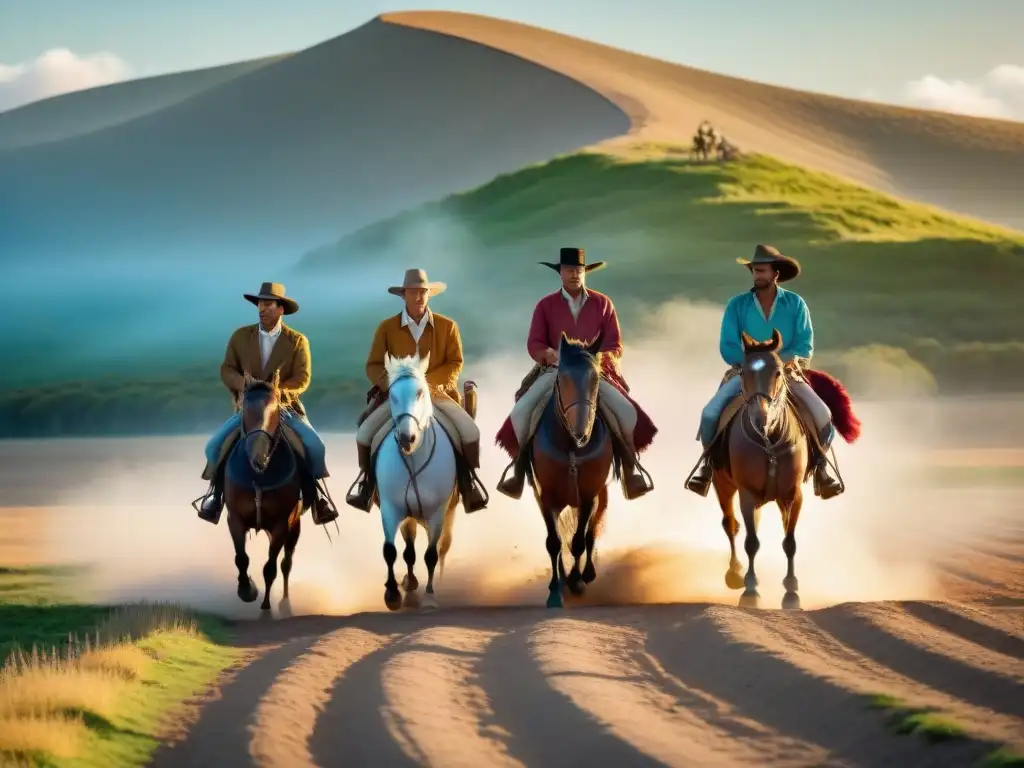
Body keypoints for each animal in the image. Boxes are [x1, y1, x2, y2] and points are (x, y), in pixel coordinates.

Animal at [224, 370, 303, 614]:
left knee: (286, 563)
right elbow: (241, 558)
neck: (259, 475)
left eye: (276, 411)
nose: (258, 458)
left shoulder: (281, 525)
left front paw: (266, 604)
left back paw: (285, 602)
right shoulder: (235, 519)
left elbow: (271, 567)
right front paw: (247, 590)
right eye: (245, 411)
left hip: (294, 527)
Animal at [374, 354, 458, 614]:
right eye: (392, 395)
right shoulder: (391, 509)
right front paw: (392, 594)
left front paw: (430, 597)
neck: (414, 458)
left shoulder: (437, 513)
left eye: (420, 392)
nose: (406, 438)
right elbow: (390, 551)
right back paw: (409, 586)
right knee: (409, 551)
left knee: (441, 548)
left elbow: (431, 554)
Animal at [524, 333, 610, 610]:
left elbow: (580, 540)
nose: (582, 432)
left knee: (592, 530)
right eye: (563, 378)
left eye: (596, 378)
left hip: (600, 496)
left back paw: (587, 574)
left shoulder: (588, 496)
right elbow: (555, 542)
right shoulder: (546, 497)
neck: (571, 445)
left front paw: (577, 582)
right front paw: (555, 590)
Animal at [708, 331, 811, 614]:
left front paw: (791, 593)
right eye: (743, 372)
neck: (769, 440)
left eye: (778, 371)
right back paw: (735, 573)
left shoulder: (793, 494)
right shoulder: (747, 494)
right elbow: (751, 541)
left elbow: (790, 541)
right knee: (730, 524)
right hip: (723, 486)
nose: (760, 417)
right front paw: (751, 591)